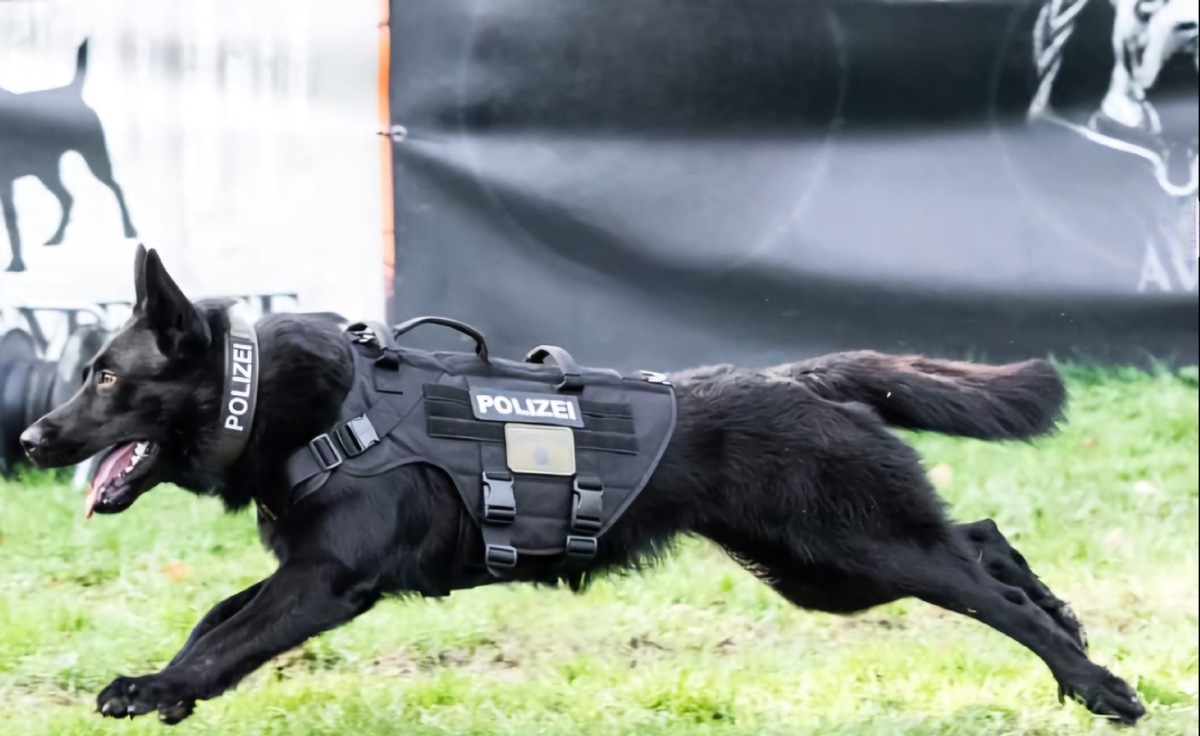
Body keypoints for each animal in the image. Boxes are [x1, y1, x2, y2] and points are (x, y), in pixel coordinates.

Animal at [0, 38, 136, 272]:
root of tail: (71, 91)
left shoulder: (5, 182)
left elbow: (11, 225)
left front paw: (17, 264)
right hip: (46, 171)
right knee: (67, 199)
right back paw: (56, 237)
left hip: (94, 157)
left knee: (115, 187)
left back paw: (129, 229)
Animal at [18, 244, 1142, 725]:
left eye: (106, 377)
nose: (29, 438)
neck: (290, 399)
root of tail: (804, 376)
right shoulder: (304, 568)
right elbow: (215, 617)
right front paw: (161, 685)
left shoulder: (325, 579)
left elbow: (230, 635)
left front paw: (158, 689)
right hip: (825, 568)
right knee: (983, 540)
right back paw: (1070, 623)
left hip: (856, 549)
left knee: (984, 585)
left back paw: (1097, 686)